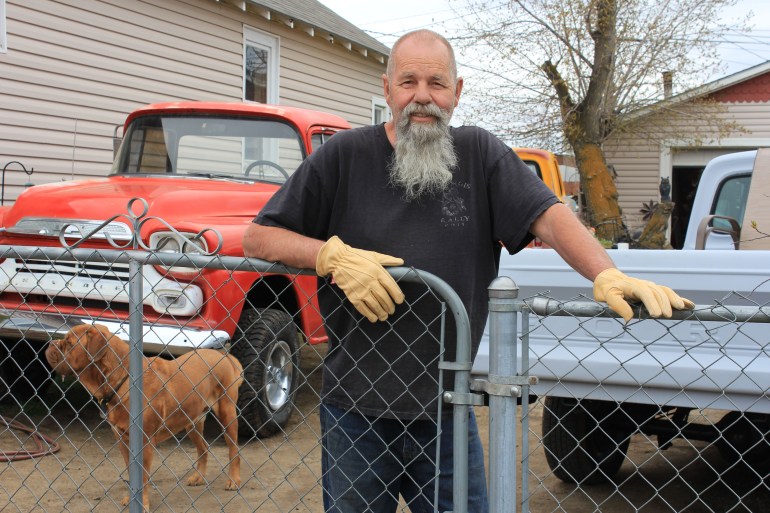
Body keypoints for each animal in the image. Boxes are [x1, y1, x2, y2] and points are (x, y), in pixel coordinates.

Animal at [45, 324, 243, 508]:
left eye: (69, 343)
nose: (51, 343)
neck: (123, 378)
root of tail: (224, 357)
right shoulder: (123, 441)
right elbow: (131, 472)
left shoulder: (144, 442)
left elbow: (143, 476)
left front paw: (143, 503)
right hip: (191, 422)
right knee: (203, 449)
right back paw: (198, 477)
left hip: (227, 415)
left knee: (234, 450)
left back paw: (234, 480)